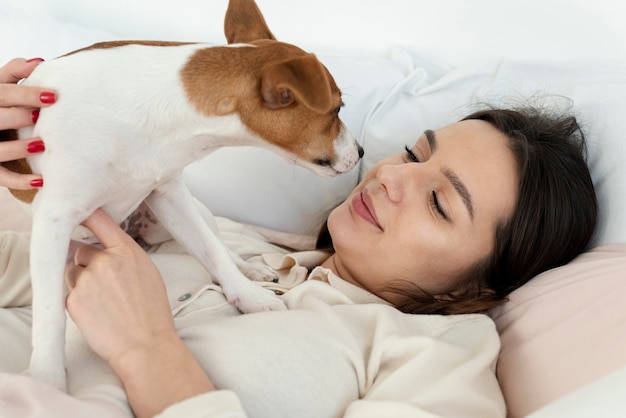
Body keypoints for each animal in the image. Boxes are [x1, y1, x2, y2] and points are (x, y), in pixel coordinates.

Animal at [1, 0, 360, 392]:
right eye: (337, 109)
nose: (361, 152)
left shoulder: (168, 194)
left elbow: (212, 252)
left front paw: (249, 296)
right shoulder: (55, 219)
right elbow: (49, 313)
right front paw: (47, 380)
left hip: (186, 213)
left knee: (222, 245)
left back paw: (250, 268)